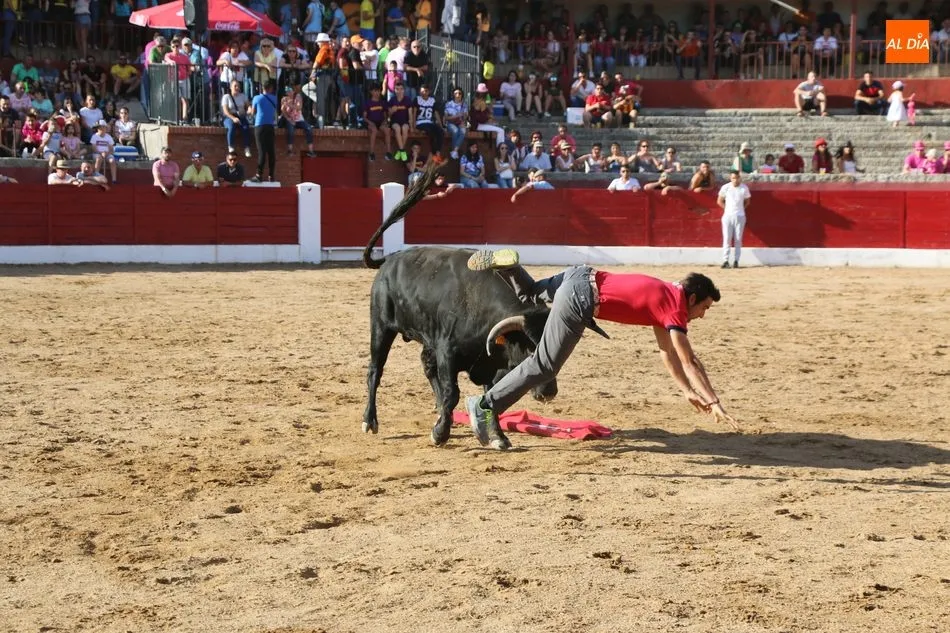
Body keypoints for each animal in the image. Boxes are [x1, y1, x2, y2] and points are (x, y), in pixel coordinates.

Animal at [361, 164, 557, 451]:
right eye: (531, 350)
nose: (548, 393)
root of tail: (391, 258)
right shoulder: (448, 351)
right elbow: (453, 392)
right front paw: (439, 433)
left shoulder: (489, 363)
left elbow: (491, 397)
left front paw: (498, 436)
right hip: (381, 326)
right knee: (375, 369)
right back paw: (370, 420)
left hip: (426, 336)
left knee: (426, 365)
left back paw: (440, 410)